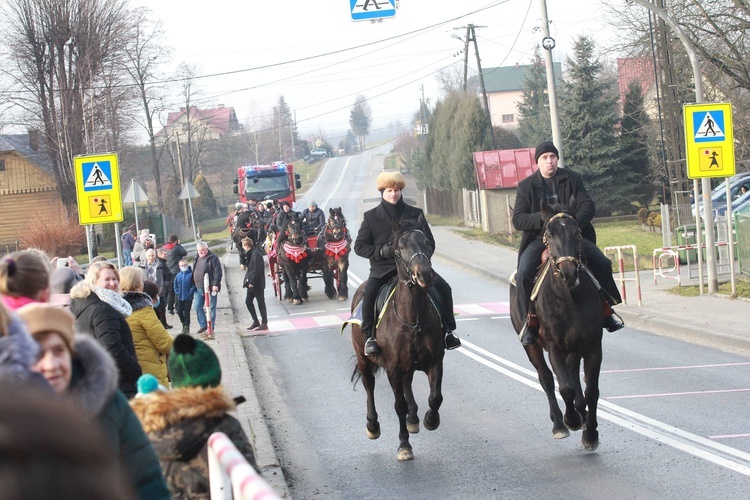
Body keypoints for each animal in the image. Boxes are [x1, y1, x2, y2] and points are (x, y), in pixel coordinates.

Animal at [352, 223, 446, 460]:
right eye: (401, 247)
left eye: (427, 243)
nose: (425, 274)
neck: (414, 318)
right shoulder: (393, 368)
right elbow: (399, 405)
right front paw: (404, 445)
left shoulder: (435, 362)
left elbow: (435, 398)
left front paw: (430, 420)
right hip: (363, 359)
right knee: (369, 385)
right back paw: (373, 426)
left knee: (408, 384)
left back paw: (414, 419)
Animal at [512, 198, 604, 454]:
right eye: (549, 235)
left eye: (578, 233)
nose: (569, 273)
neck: (569, 297)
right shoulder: (553, 346)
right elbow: (564, 388)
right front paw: (570, 420)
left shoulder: (593, 346)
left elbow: (591, 391)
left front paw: (590, 433)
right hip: (532, 346)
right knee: (546, 379)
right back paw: (560, 423)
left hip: (574, 347)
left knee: (572, 371)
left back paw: (581, 412)